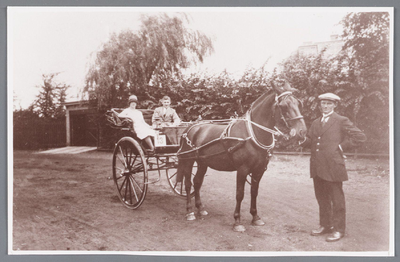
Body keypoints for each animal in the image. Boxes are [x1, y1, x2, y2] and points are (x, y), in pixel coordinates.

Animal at [176, 82, 306, 231]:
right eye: (284, 106)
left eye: (298, 103)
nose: (302, 132)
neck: (251, 134)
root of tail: (190, 127)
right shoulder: (242, 169)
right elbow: (240, 194)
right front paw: (237, 221)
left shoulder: (259, 170)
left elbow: (254, 192)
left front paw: (255, 217)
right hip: (189, 161)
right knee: (187, 184)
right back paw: (189, 211)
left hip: (203, 162)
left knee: (197, 182)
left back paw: (200, 208)